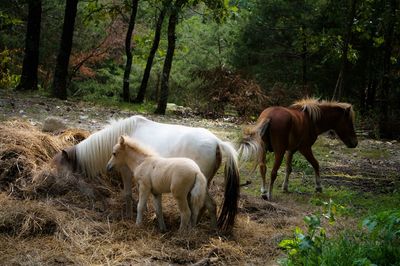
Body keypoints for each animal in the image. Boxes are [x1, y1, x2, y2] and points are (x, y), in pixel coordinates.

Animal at [53, 115, 241, 232]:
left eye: (60, 168)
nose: (53, 184)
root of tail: (217, 142)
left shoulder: (126, 172)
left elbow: (128, 195)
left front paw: (130, 216)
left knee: (204, 205)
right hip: (203, 184)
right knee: (207, 205)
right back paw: (206, 228)